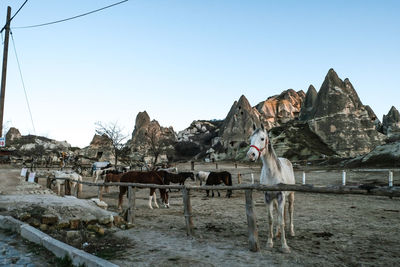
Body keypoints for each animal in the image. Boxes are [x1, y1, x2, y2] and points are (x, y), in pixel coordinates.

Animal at [245, 124, 296, 254]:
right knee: (278, 213)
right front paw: (269, 242)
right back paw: (277, 233)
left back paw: (291, 232)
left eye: (262, 138)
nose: (251, 155)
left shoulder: (281, 196)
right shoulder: (268, 197)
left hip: (290, 196)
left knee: (290, 211)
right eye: (250, 139)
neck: (272, 173)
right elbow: (271, 219)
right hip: (275, 200)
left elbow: (282, 221)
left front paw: (284, 246)